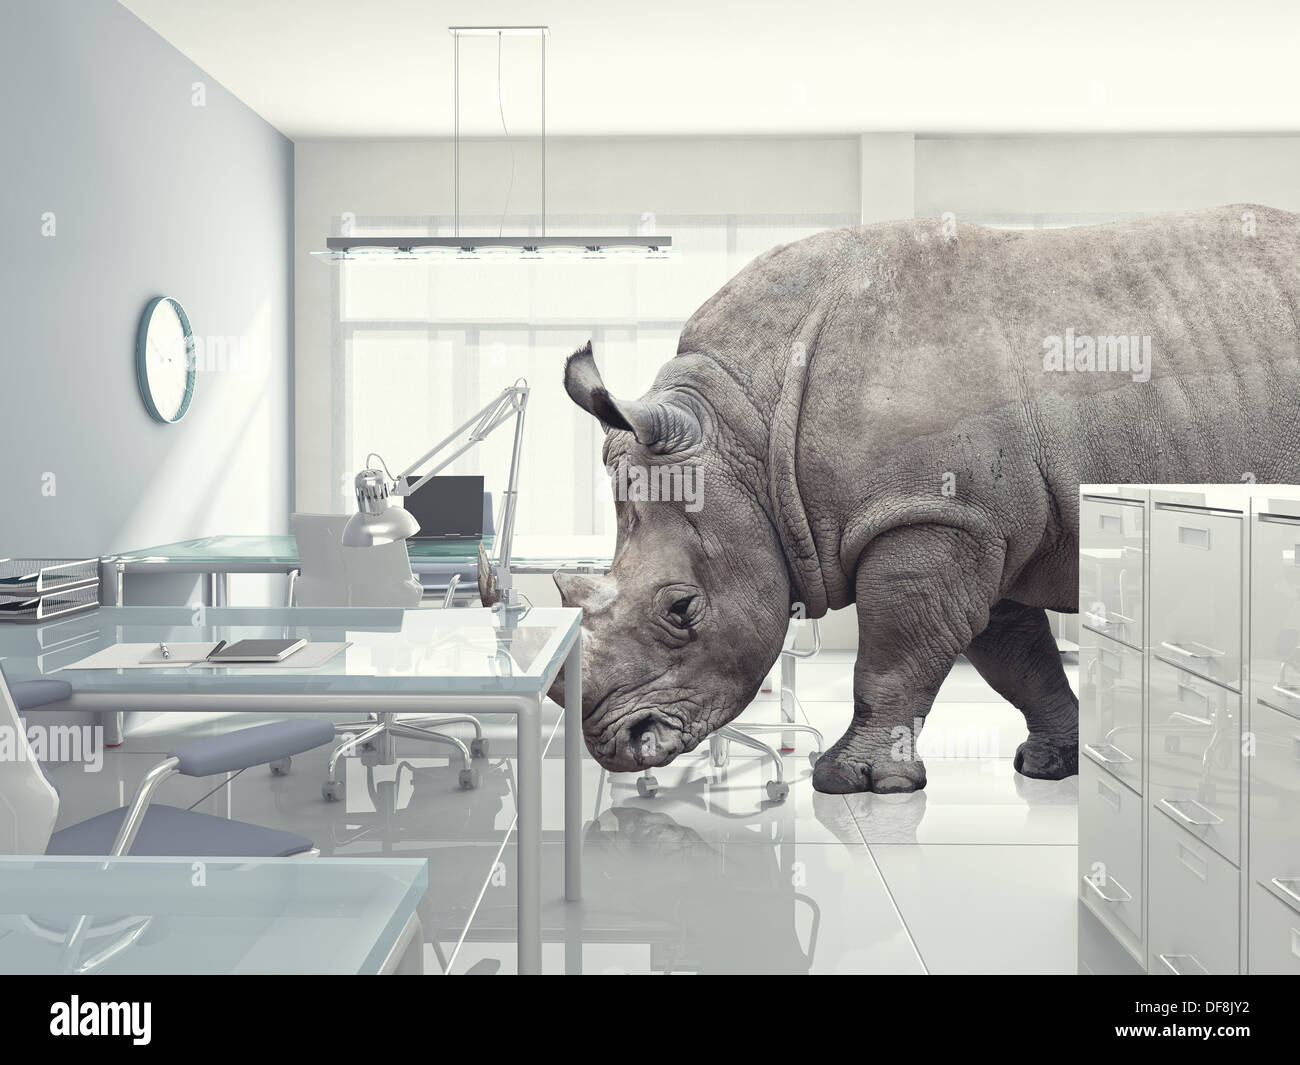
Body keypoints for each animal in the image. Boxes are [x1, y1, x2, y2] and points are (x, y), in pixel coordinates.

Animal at [535, 204, 1300, 794]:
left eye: (682, 609)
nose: (616, 745)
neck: (742, 434)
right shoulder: (986, 524)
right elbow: (1018, 658)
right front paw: (1052, 764)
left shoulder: (931, 515)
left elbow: (893, 654)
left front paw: (851, 782)